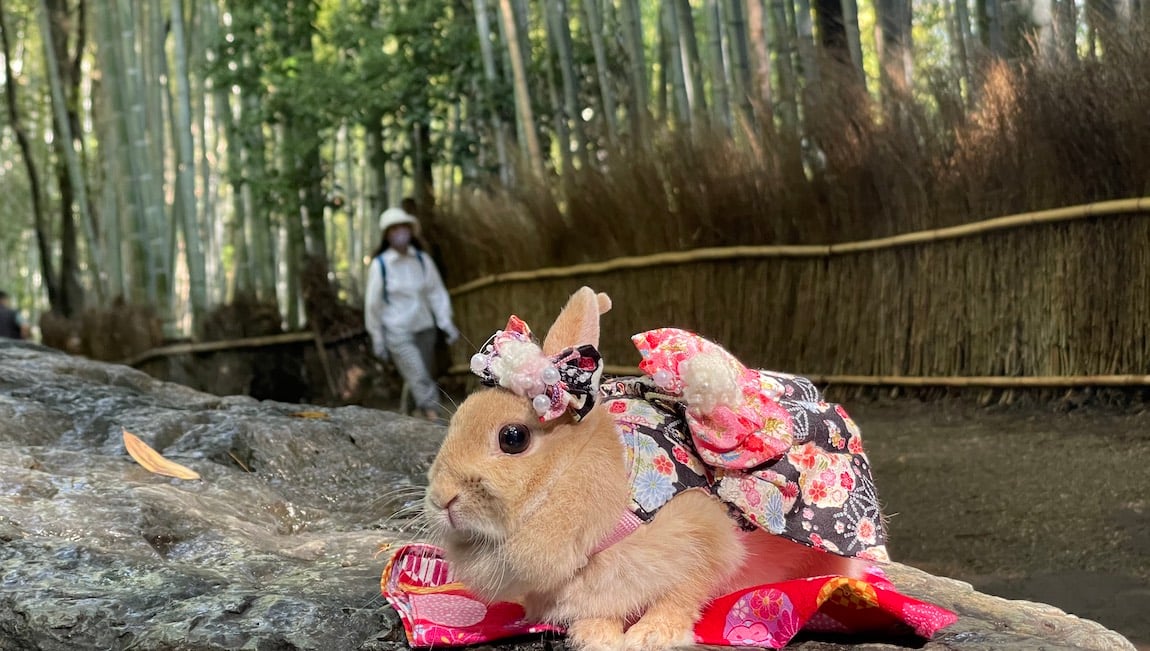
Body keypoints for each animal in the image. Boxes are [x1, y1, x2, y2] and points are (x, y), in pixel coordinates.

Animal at [427, 289, 883, 651]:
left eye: (513, 438)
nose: (441, 498)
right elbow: (601, 609)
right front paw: (597, 637)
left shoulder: (703, 538)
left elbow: (681, 595)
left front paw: (651, 636)